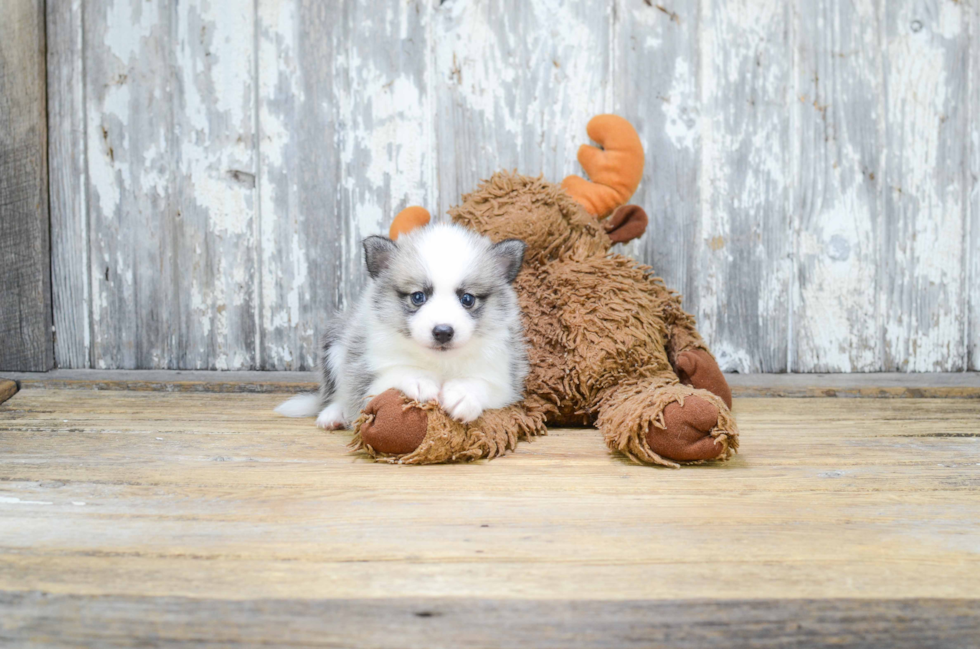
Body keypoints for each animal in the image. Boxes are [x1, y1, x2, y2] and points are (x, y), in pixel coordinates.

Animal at [276, 220, 528, 428]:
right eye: (418, 297)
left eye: (467, 299)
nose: (443, 332)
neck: (440, 363)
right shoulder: (369, 376)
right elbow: (398, 371)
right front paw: (419, 380)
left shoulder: (503, 381)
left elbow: (481, 383)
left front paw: (463, 394)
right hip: (337, 347)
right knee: (338, 393)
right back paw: (334, 415)